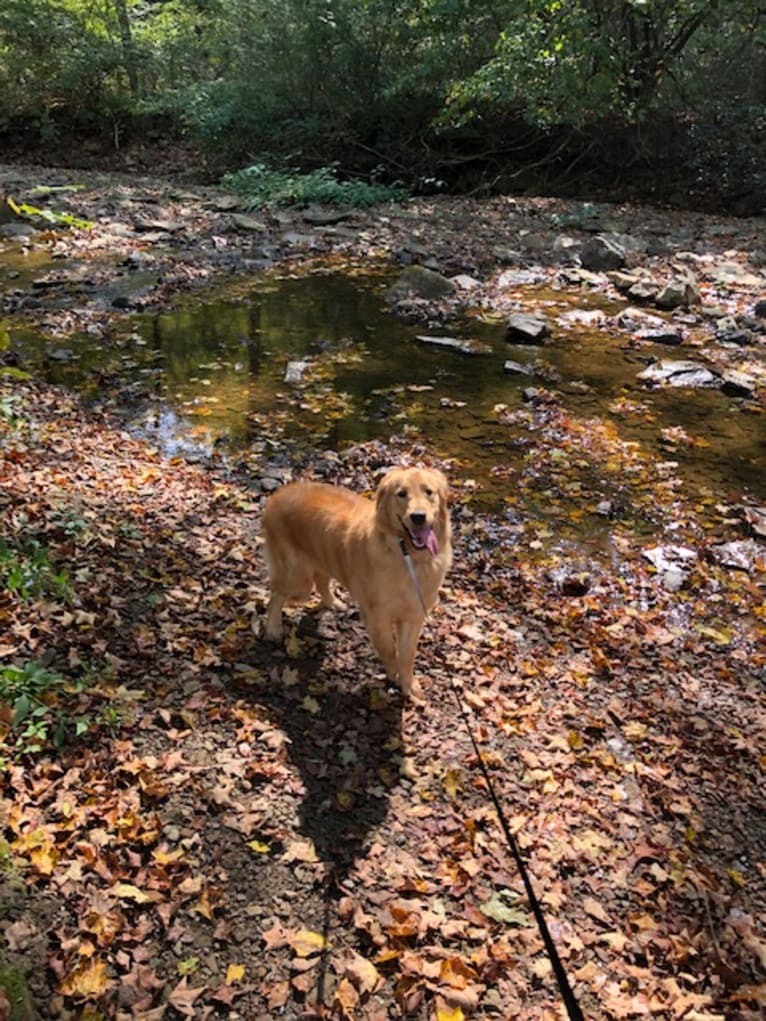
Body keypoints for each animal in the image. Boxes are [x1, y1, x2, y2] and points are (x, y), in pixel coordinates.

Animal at [263, 467, 449, 694]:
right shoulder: (378, 616)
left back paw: (332, 602)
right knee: (276, 595)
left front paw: (408, 686)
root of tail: (279, 493)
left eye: (429, 492)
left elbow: (407, 655)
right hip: (298, 580)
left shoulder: (413, 616)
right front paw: (394, 676)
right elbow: (389, 650)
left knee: (320, 579)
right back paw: (273, 628)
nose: (419, 517)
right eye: (401, 494)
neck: (408, 556)